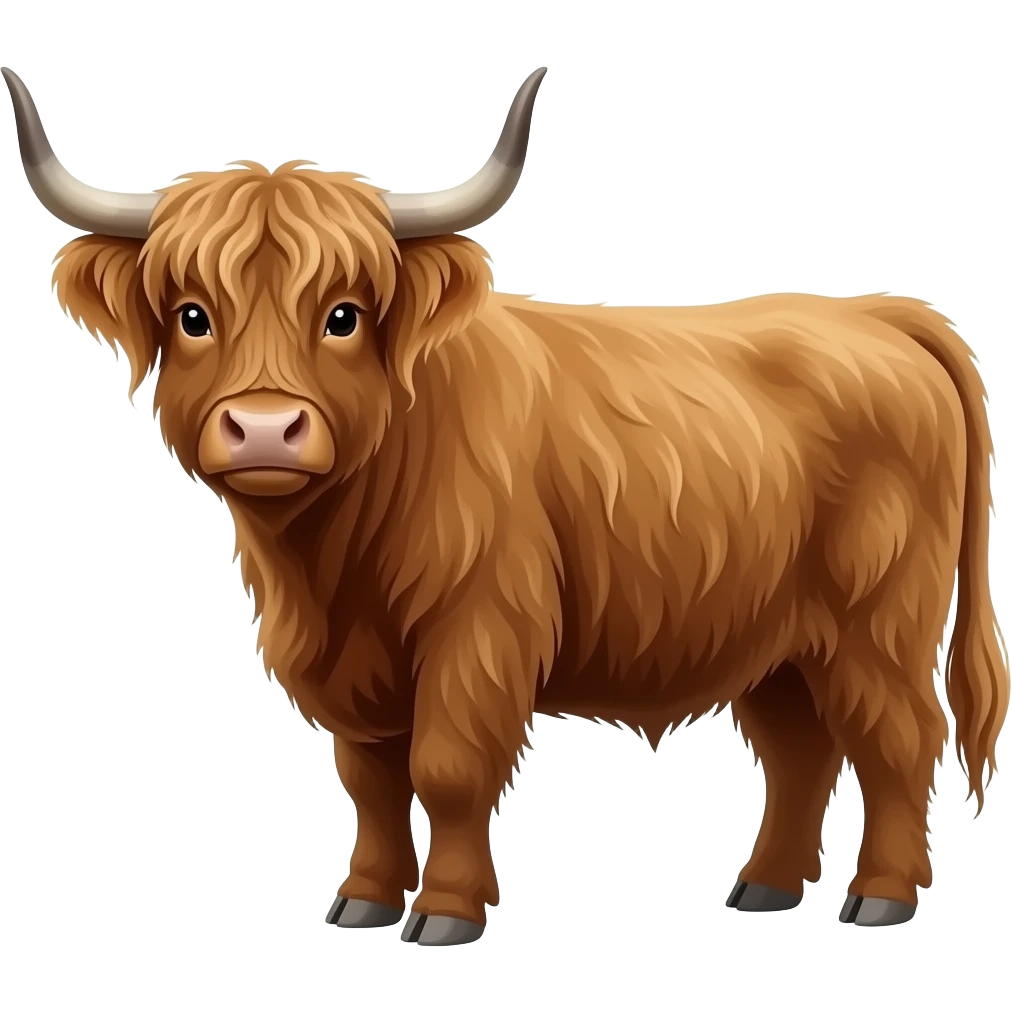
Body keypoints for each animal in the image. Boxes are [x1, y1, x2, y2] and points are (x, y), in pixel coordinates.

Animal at [4, 64, 1007, 943]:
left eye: (344, 316)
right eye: (191, 316)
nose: (262, 429)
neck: (329, 564)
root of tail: (873, 312)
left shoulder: (479, 627)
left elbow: (446, 767)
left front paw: (446, 912)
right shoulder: (348, 661)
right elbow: (370, 777)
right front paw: (364, 900)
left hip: (877, 619)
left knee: (901, 738)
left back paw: (880, 897)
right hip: (778, 636)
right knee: (803, 750)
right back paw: (764, 886)